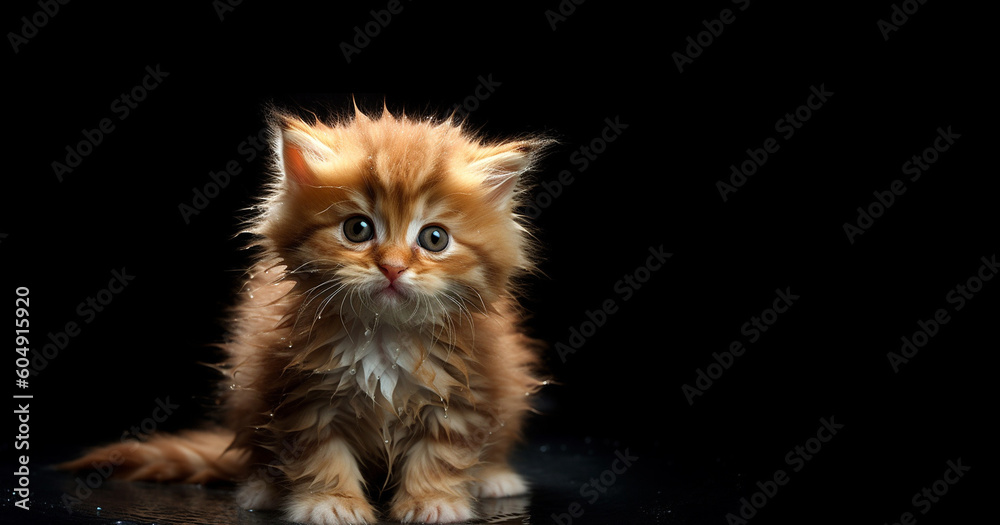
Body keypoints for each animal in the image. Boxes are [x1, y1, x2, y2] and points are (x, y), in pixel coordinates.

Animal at [60, 104, 556, 520]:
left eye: (434, 239)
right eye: (357, 229)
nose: (393, 267)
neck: (383, 335)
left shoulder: (463, 394)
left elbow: (442, 453)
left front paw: (433, 501)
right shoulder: (299, 395)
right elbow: (319, 455)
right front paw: (330, 504)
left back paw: (493, 478)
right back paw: (262, 489)